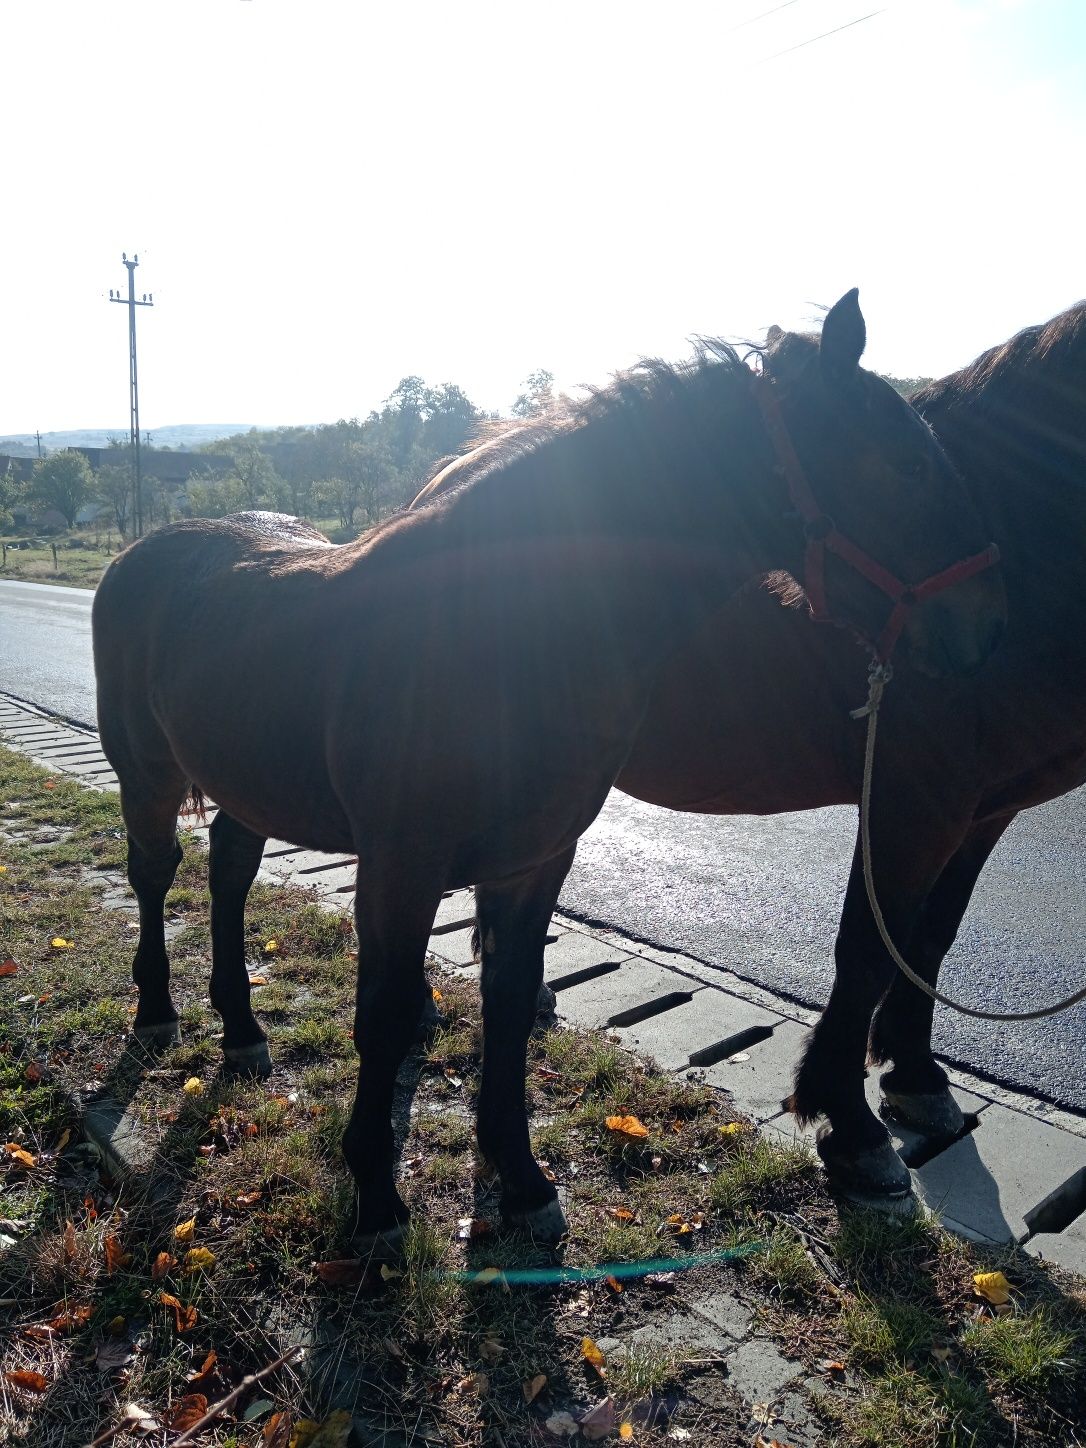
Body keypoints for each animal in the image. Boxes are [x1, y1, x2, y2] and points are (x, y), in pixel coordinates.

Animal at [91, 288, 1002, 1251]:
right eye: (908, 464)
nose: (989, 626)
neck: (496, 633)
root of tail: (140, 553)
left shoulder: (534, 861)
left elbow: (510, 999)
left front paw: (521, 1180)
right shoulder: (401, 865)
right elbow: (384, 1014)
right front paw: (377, 1198)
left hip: (249, 782)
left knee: (229, 869)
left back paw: (240, 1027)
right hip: (145, 773)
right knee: (156, 872)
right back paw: (157, 1012)